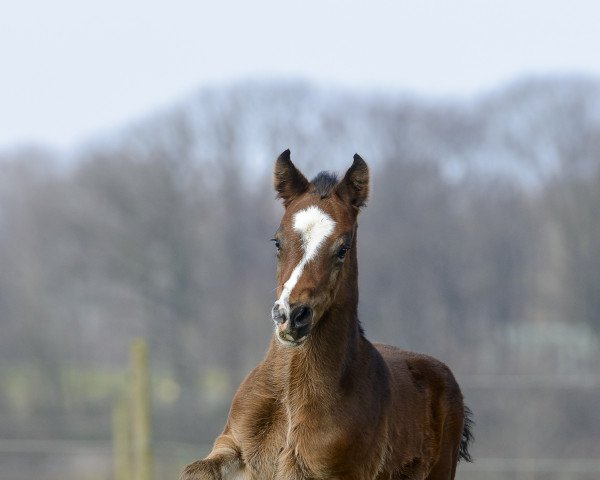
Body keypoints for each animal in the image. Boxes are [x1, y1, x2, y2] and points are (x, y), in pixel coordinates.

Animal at [180, 148, 472, 478]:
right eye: (277, 241)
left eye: (343, 248)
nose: (291, 317)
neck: (289, 396)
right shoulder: (233, 447)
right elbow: (196, 470)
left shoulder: (317, 469)